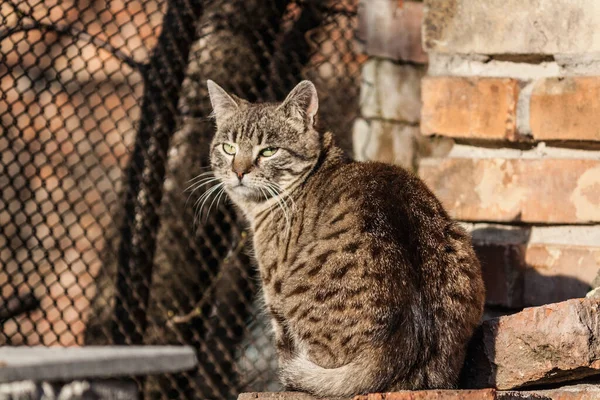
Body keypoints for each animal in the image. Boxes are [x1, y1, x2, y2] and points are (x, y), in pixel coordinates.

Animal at [204, 79, 486, 396]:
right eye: (228, 148)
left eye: (269, 151)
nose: (238, 171)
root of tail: (400, 347)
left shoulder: (274, 294)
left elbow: (283, 347)